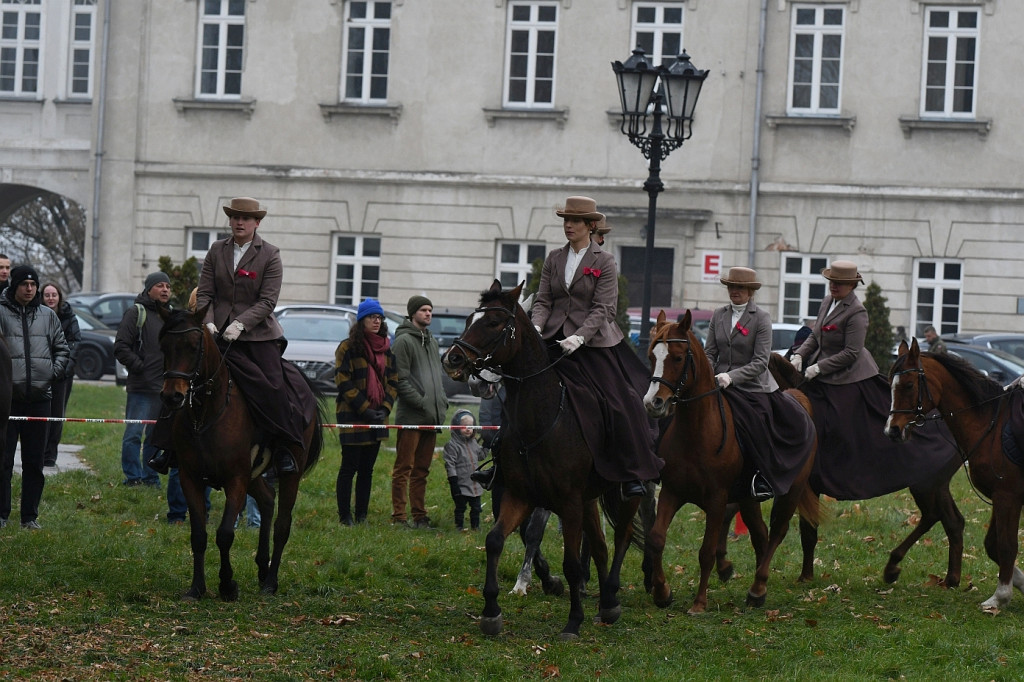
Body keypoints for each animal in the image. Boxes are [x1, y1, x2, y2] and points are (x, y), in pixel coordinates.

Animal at [158, 307, 323, 602]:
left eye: (193, 346)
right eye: (164, 345)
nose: (172, 397)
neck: (205, 412)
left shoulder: (235, 478)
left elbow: (224, 534)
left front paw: (227, 585)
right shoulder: (190, 478)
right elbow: (198, 535)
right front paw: (197, 588)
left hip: (288, 471)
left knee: (282, 524)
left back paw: (270, 582)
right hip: (253, 475)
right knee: (267, 500)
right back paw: (262, 569)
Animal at [442, 278, 643, 638]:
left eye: (494, 322)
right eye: (469, 319)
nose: (453, 359)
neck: (542, 416)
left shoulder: (567, 501)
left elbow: (571, 562)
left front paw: (573, 621)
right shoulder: (520, 495)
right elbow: (495, 541)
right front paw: (491, 612)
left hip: (625, 490)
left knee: (622, 535)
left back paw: (610, 594)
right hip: (589, 499)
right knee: (601, 545)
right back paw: (606, 604)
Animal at [643, 307, 819, 610]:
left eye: (677, 358)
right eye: (652, 356)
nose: (653, 404)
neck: (696, 431)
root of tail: (798, 400)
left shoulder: (716, 499)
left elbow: (706, 551)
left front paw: (699, 603)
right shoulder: (672, 491)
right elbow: (656, 539)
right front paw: (662, 593)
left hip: (792, 489)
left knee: (778, 531)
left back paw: (758, 588)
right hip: (748, 498)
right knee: (760, 534)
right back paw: (759, 588)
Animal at [770, 350, 962, 585]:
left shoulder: (808, 486)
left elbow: (807, 531)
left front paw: (806, 577)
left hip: (926, 484)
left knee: (935, 516)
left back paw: (898, 568)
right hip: (937, 485)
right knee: (952, 521)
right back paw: (950, 578)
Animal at [880, 337, 1024, 606]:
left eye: (908, 385)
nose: (891, 431)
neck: (991, 425)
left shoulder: (1007, 496)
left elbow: (1007, 546)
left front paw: (1000, 597)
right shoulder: (999, 496)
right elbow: (992, 545)